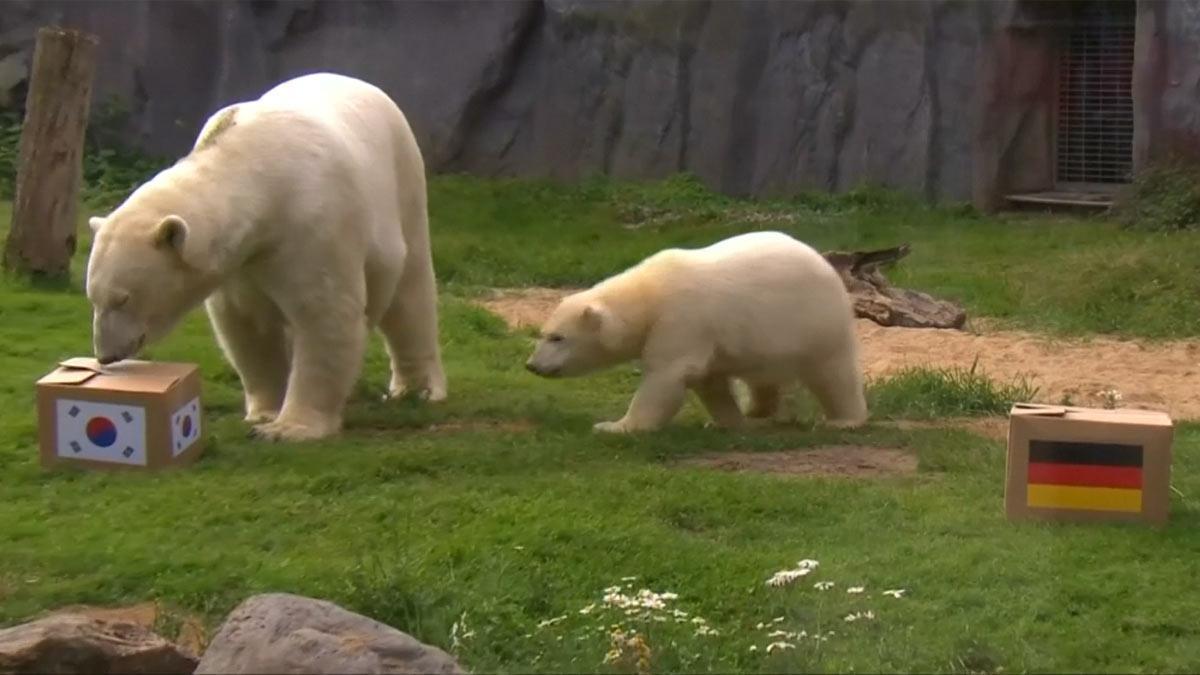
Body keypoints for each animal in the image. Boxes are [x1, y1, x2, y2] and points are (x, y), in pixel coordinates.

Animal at [84, 72, 448, 441]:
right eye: (93, 297)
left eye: (122, 298)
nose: (106, 355)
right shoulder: (241, 262)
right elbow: (248, 325)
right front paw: (264, 413)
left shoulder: (314, 226)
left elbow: (325, 316)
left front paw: (289, 428)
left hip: (402, 182)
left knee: (410, 293)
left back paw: (417, 388)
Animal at [523, 229, 864, 429]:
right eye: (542, 333)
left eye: (558, 338)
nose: (532, 365)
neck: (648, 295)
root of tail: (825, 263)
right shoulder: (703, 336)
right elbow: (710, 382)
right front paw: (726, 422)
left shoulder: (681, 320)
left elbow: (666, 376)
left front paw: (614, 427)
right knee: (761, 378)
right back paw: (757, 411)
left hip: (815, 323)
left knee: (833, 374)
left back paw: (843, 420)